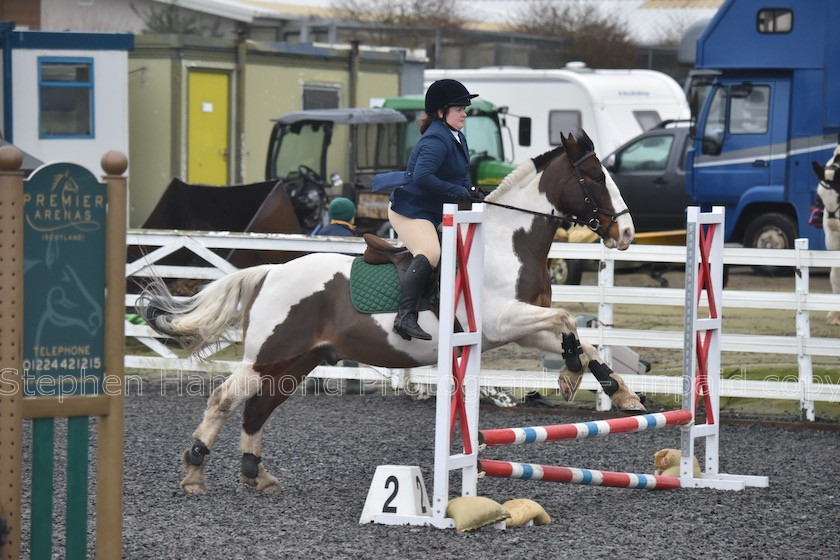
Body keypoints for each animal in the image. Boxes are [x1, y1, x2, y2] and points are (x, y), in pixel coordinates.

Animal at [139, 129, 644, 492]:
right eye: (594, 177)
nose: (626, 234)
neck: (507, 242)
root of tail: (270, 272)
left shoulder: (518, 328)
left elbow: (582, 339)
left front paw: (618, 393)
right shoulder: (502, 319)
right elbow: (567, 322)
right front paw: (572, 377)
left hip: (297, 361)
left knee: (258, 407)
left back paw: (255, 474)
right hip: (269, 354)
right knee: (224, 398)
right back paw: (194, 470)